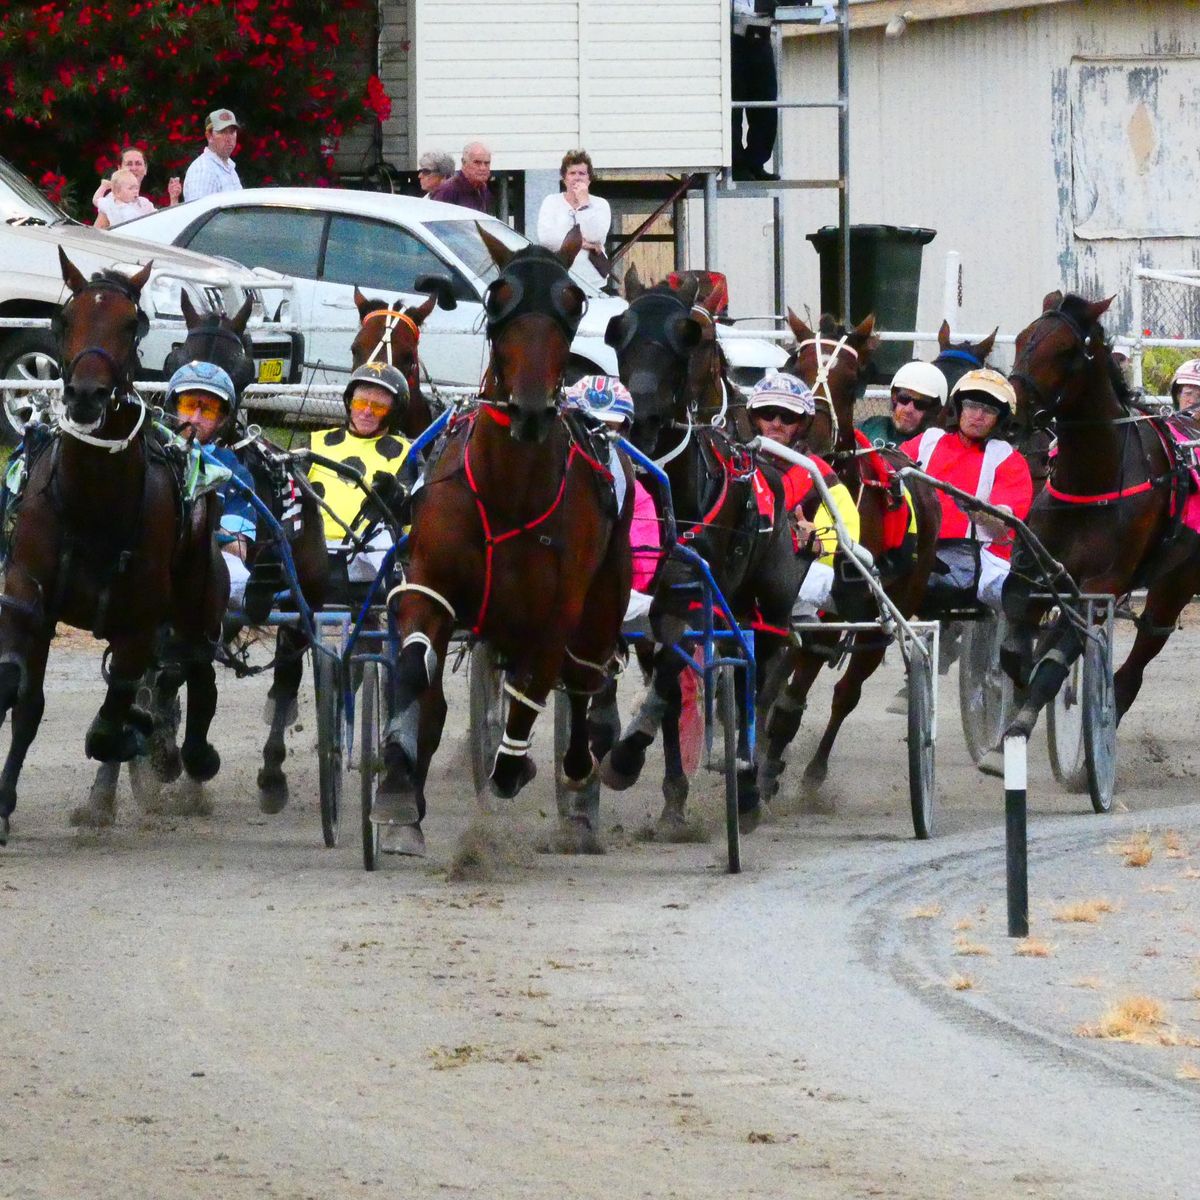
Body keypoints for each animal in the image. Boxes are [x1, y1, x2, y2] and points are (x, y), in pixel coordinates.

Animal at [0, 250, 228, 844]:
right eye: (63, 320)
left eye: (133, 324)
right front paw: (3, 805)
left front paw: (139, 738)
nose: (85, 395)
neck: (92, 504)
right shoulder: (29, 598)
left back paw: (183, 755)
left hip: (198, 598)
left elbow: (110, 722)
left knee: (196, 669)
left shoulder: (139, 622)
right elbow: (23, 698)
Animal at [379, 225, 633, 859]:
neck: (507, 490)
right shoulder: (431, 582)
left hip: (602, 601)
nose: (531, 409)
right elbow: (416, 670)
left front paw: (514, 767)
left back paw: (575, 765)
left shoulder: (557, 610)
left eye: (574, 300)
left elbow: (535, 690)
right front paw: (397, 792)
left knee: (582, 681)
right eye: (497, 297)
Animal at [597, 272, 801, 835]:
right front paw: (670, 795)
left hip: (768, 605)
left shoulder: (691, 601)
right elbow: (666, 690)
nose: (641, 417)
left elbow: (671, 679)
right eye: (618, 330)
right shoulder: (644, 603)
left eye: (688, 336)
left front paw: (626, 756)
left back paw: (749, 788)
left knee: (761, 671)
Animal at [758, 309, 945, 796]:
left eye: (853, 378)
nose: (815, 434)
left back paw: (812, 769)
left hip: (889, 614)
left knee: (847, 691)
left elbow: (793, 698)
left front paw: (769, 768)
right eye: (795, 364)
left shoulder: (830, 617)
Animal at [998, 291, 1200, 739]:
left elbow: (1056, 660)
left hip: (1177, 579)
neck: (1091, 482)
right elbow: (1017, 631)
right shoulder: (1041, 565)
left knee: (1146, 644)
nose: (1010, 415)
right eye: (1021, 340)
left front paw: (1023, 717)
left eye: (1064, 350)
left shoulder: (1105, 582)